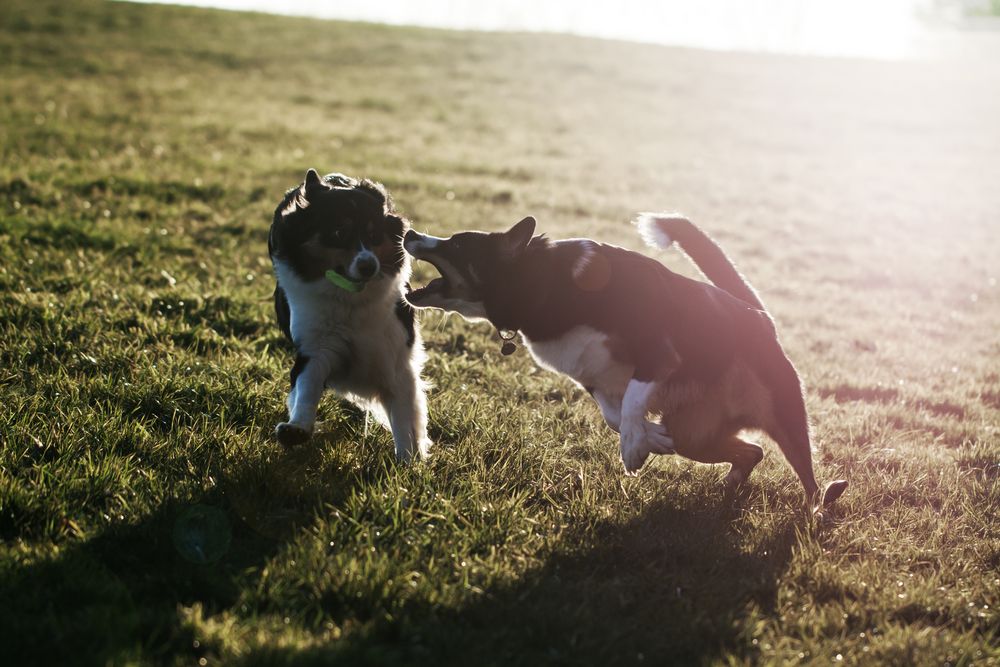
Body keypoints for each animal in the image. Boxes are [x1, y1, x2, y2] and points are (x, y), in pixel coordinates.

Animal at [270, 170, 430, 462]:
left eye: (374, 234)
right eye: (339, 232)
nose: (368, 266)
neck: (349, 301)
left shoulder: (394, 358)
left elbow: (404, 415)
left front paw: (408, 461)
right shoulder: (315, 347)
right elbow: (307, 387)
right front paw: (296, 429)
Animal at [402, 215, 848, 512]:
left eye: (457, 245)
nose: (409, 233)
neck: (546, 285)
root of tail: (760, 317)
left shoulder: (657, 352)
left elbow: (633, 399)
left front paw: (635, 449)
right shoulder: (593, 380)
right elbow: (614, 415)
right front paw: (649, 438)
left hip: (784, 416)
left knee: (807, 476)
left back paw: (816, 511)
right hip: (695, 436)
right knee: (751, 451)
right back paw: (732, 480)